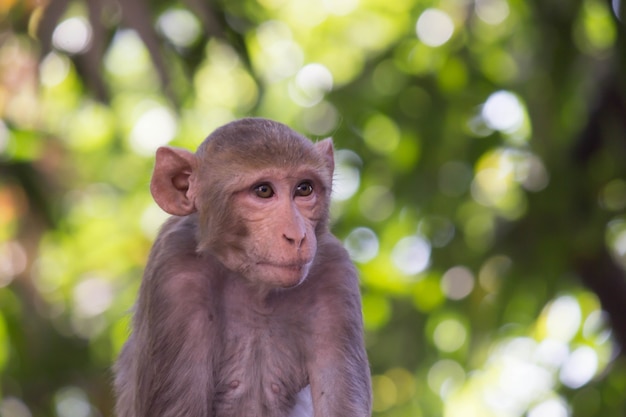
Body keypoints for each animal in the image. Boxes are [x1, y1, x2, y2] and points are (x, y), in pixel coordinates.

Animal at [113, 117, 370, 416]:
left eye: (304, 188)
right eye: (263, 191)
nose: (297, 236)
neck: (255, 288)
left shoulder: (335, 274)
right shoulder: (174, 273)